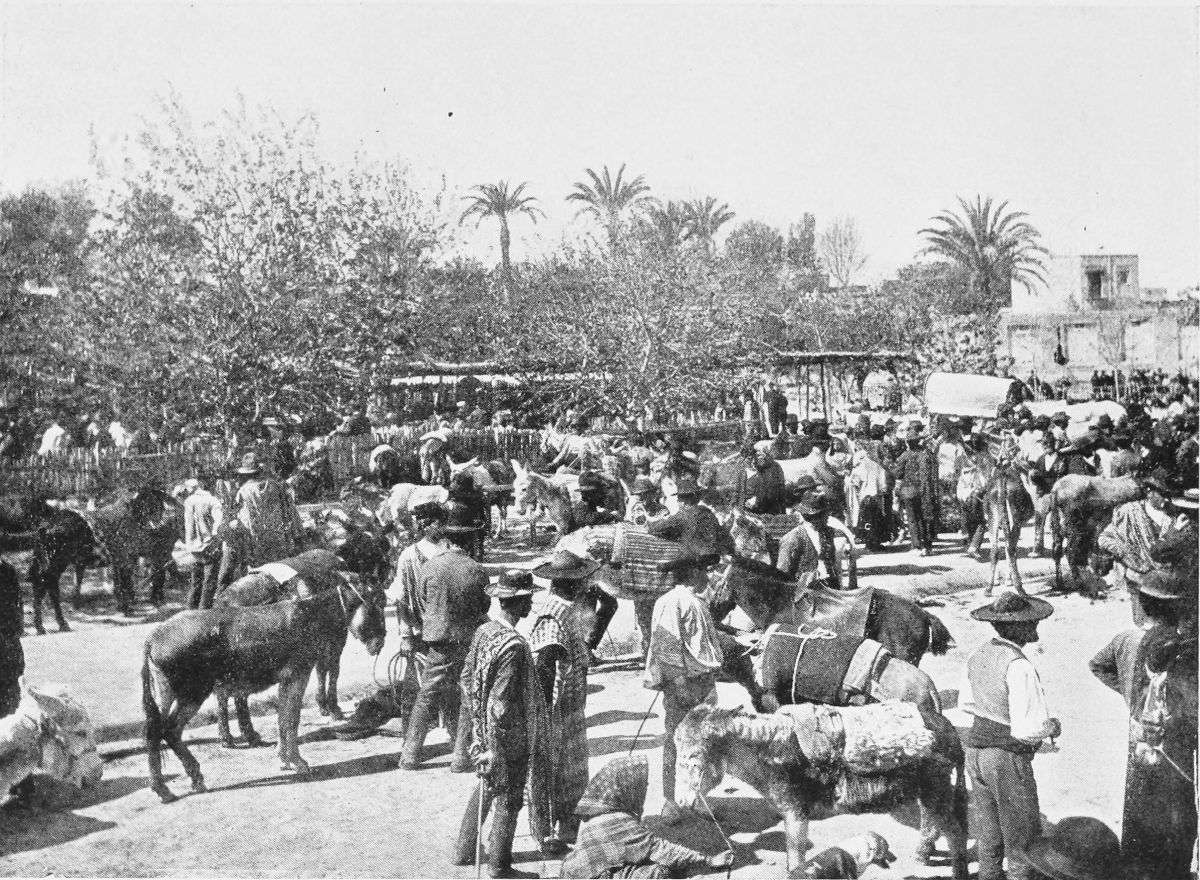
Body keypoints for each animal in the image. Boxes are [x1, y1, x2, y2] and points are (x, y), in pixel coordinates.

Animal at [141, 570, 386, 803]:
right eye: (379, 603)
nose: (380, 644)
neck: (309, 616)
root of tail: (153, 638)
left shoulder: (288, 680)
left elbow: (283, 718)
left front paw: (284, 760)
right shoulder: (297, 676)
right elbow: (291, 719)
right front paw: (298, 762)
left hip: (168, 693)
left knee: (157, 731)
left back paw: (172, 785)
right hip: (193, 692)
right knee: (169, 730)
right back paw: (175, 784)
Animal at [674, 703, 969, 878]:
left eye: (694, 756)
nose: (681, 801)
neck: (772, 751)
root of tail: (947, 728)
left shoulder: (795, 812)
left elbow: (795, 856)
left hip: (935, 789)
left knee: (953, 833)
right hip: (929, 792)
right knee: (934, 824)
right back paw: (922, 856)